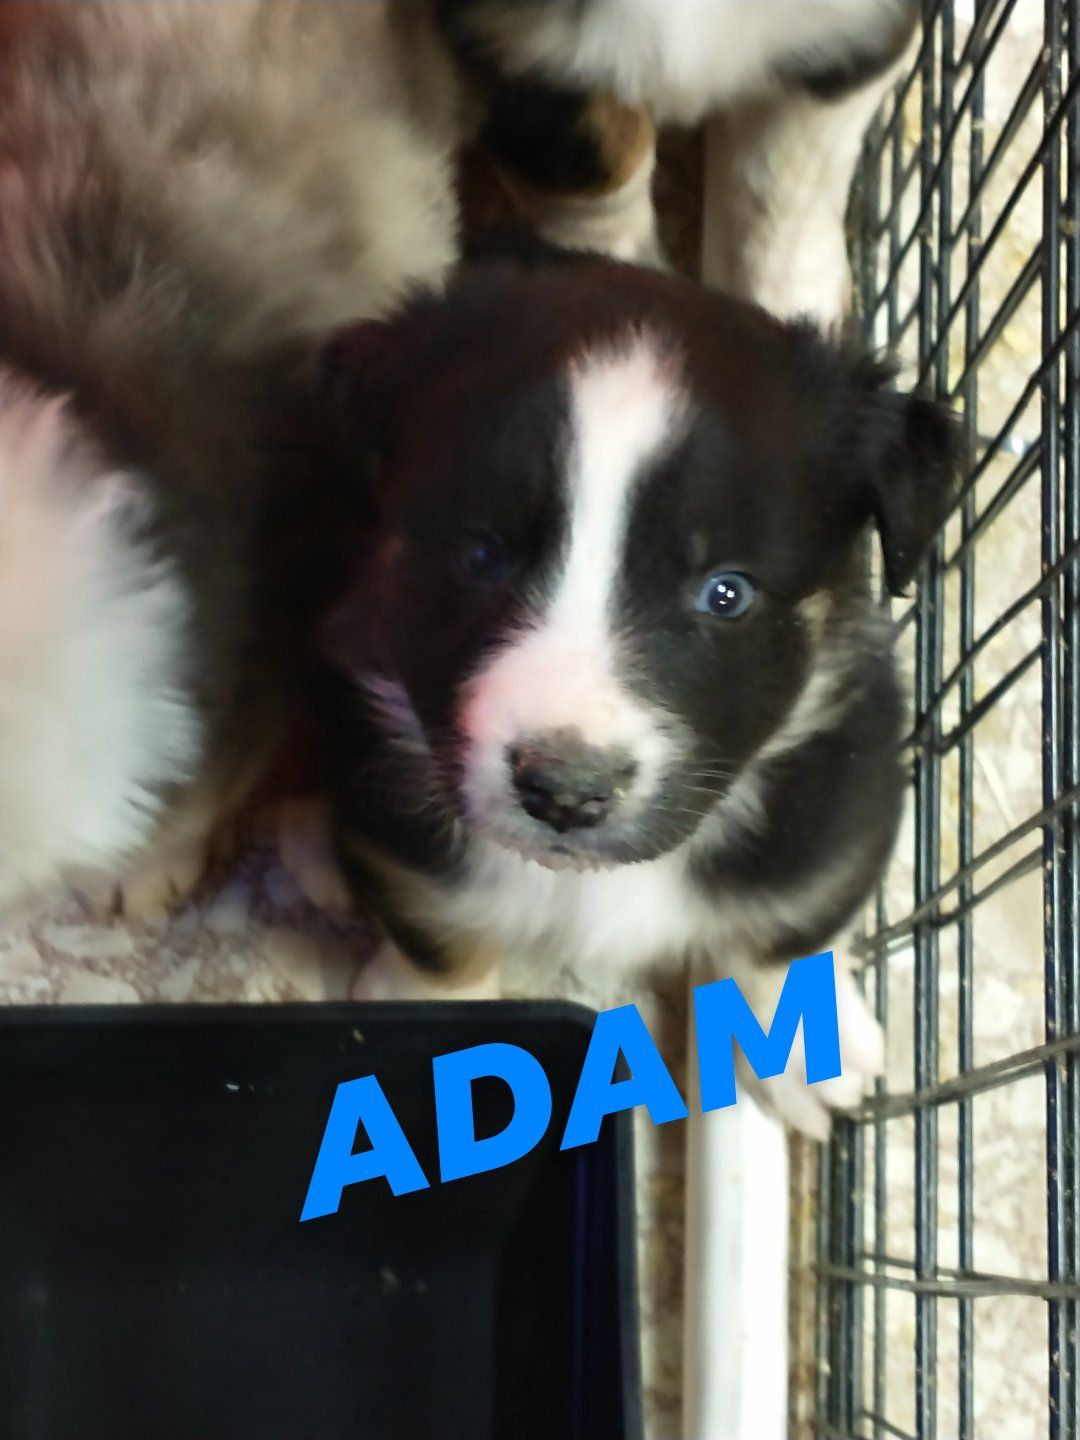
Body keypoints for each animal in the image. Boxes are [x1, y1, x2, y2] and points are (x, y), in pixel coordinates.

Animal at [305, 246, 960, 1135]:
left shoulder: (838, 801)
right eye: (478, 554)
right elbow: (438, 937)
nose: (566, 792)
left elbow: (791, 927)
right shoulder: (397, 822)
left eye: (727, 593)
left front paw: (802, 1050)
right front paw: (426, 1014)